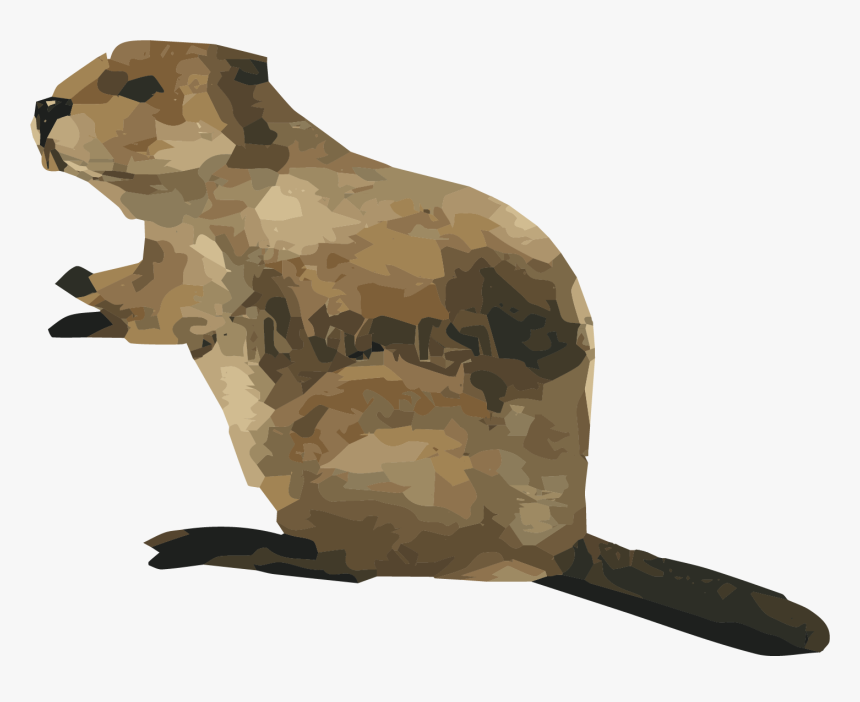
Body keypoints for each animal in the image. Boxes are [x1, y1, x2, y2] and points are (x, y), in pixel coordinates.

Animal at [32, 41, 827, 654]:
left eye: (139, 85)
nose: (44, 105)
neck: (254, 180)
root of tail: (562, 554)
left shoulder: (215, 259)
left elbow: (171, 313)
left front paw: (77, 299)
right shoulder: (165, 245)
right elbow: (138, 285)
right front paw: (73, 285)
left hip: (341, 446)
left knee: (348, 568)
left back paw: (194, 544)